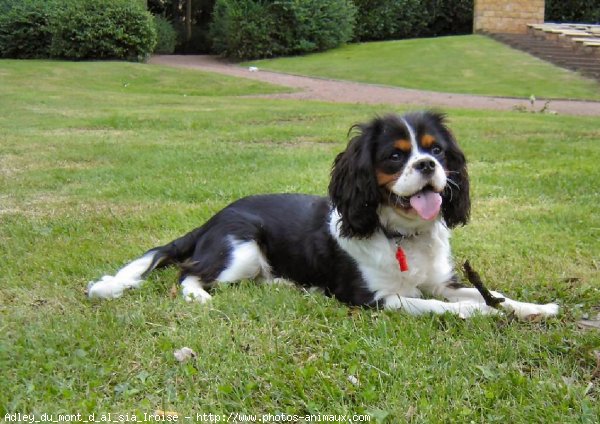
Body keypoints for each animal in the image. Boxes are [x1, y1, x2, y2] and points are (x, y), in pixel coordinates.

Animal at [88, 111, 556, 320]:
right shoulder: (376, 298)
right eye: (394, 156)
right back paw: (199, 295)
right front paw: (488, 316)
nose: (427, 166)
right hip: (240, 250)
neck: (402, 234)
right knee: (189, 272)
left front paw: (534, 307)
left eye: (436, 150)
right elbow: (443, 307)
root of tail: (213, 219)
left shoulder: (443, 282)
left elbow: (485, 292)